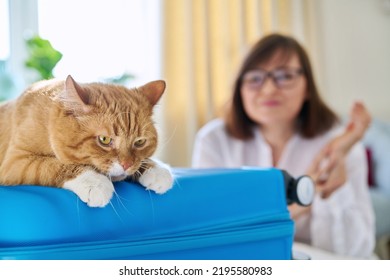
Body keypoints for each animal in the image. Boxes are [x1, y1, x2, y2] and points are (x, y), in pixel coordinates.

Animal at [0, 75, 172, 207]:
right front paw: (94, 181)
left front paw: (156, 169)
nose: (127, 165)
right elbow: (52, 165)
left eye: (140, 142)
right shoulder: (15, 162)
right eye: (104, 140)